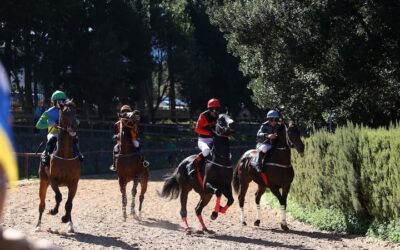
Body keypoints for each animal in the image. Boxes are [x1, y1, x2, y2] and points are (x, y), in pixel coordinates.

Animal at [35, 99, 80, 232]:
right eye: (64, 112)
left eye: (75, 111)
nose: (73, 127)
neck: (65, 156)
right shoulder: (53, 180)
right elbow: (59, 197)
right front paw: (53, 211)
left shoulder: (74, 182)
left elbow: (69, 203)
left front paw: (66, 219)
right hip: (43, 181)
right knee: (42, 203)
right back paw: (38, 225)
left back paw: (70, 224)